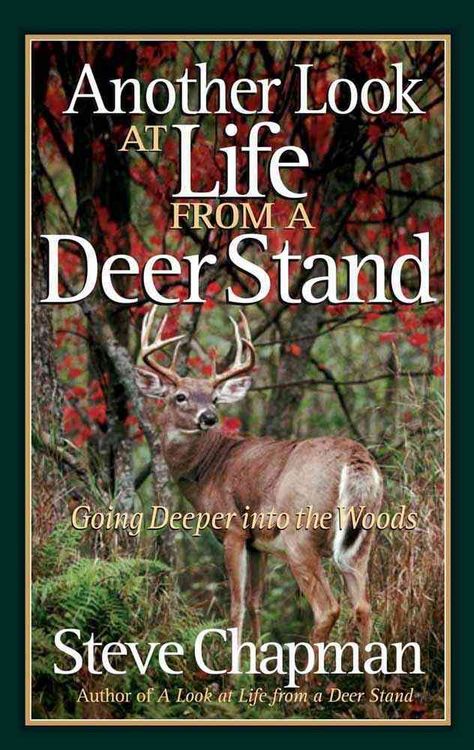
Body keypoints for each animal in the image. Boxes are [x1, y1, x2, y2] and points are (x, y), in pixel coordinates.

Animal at [136, 306, 383, 701]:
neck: (208, 468)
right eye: (180, 396)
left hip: (301, 535)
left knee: (327, 608)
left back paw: (302, 694)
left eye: (214, 398)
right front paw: (258, 672)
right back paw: (372, 699)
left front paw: (232, 680)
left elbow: (236, 605)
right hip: (363, 538)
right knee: (363, 606)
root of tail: (356, 459)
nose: (209, 417)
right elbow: (255, 602)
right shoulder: (259, 543)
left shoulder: (234, 530)